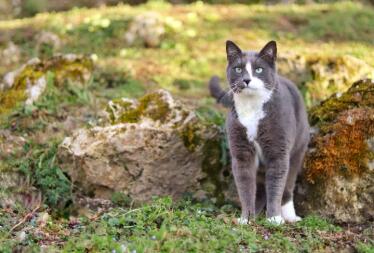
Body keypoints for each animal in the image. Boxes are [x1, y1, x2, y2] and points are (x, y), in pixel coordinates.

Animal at [210, 40, 310, 224]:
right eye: (238, 69)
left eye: (258, 69)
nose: (246, 79)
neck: (251, 107)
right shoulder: (241, 152)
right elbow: (245, 186)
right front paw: (246, 218)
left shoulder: (278, 151)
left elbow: (276, 185)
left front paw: (274, 218)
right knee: (261, 187)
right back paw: (256, 212)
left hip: (298, 149)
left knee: (287, 185)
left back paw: (289, 216)